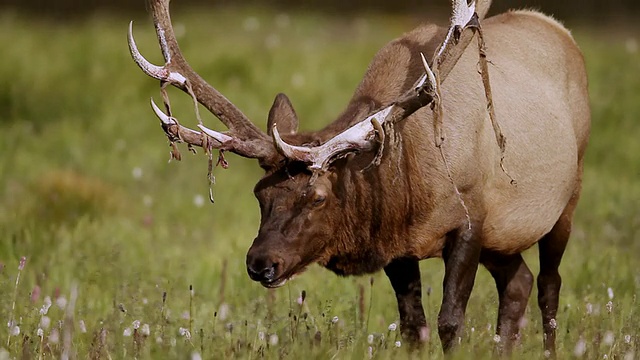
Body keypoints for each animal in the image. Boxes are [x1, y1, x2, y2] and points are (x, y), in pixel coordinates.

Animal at [129, 0, 592, 354]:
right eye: (259, 194)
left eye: (317, 196)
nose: (260, 263)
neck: (406, 186)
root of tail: (559, 29)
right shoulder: (399, 246)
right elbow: (413, 327)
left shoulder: (471, 217)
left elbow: (449, 322)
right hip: (503, 238)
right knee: (519, 283)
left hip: (568, 197)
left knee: (549, 286)